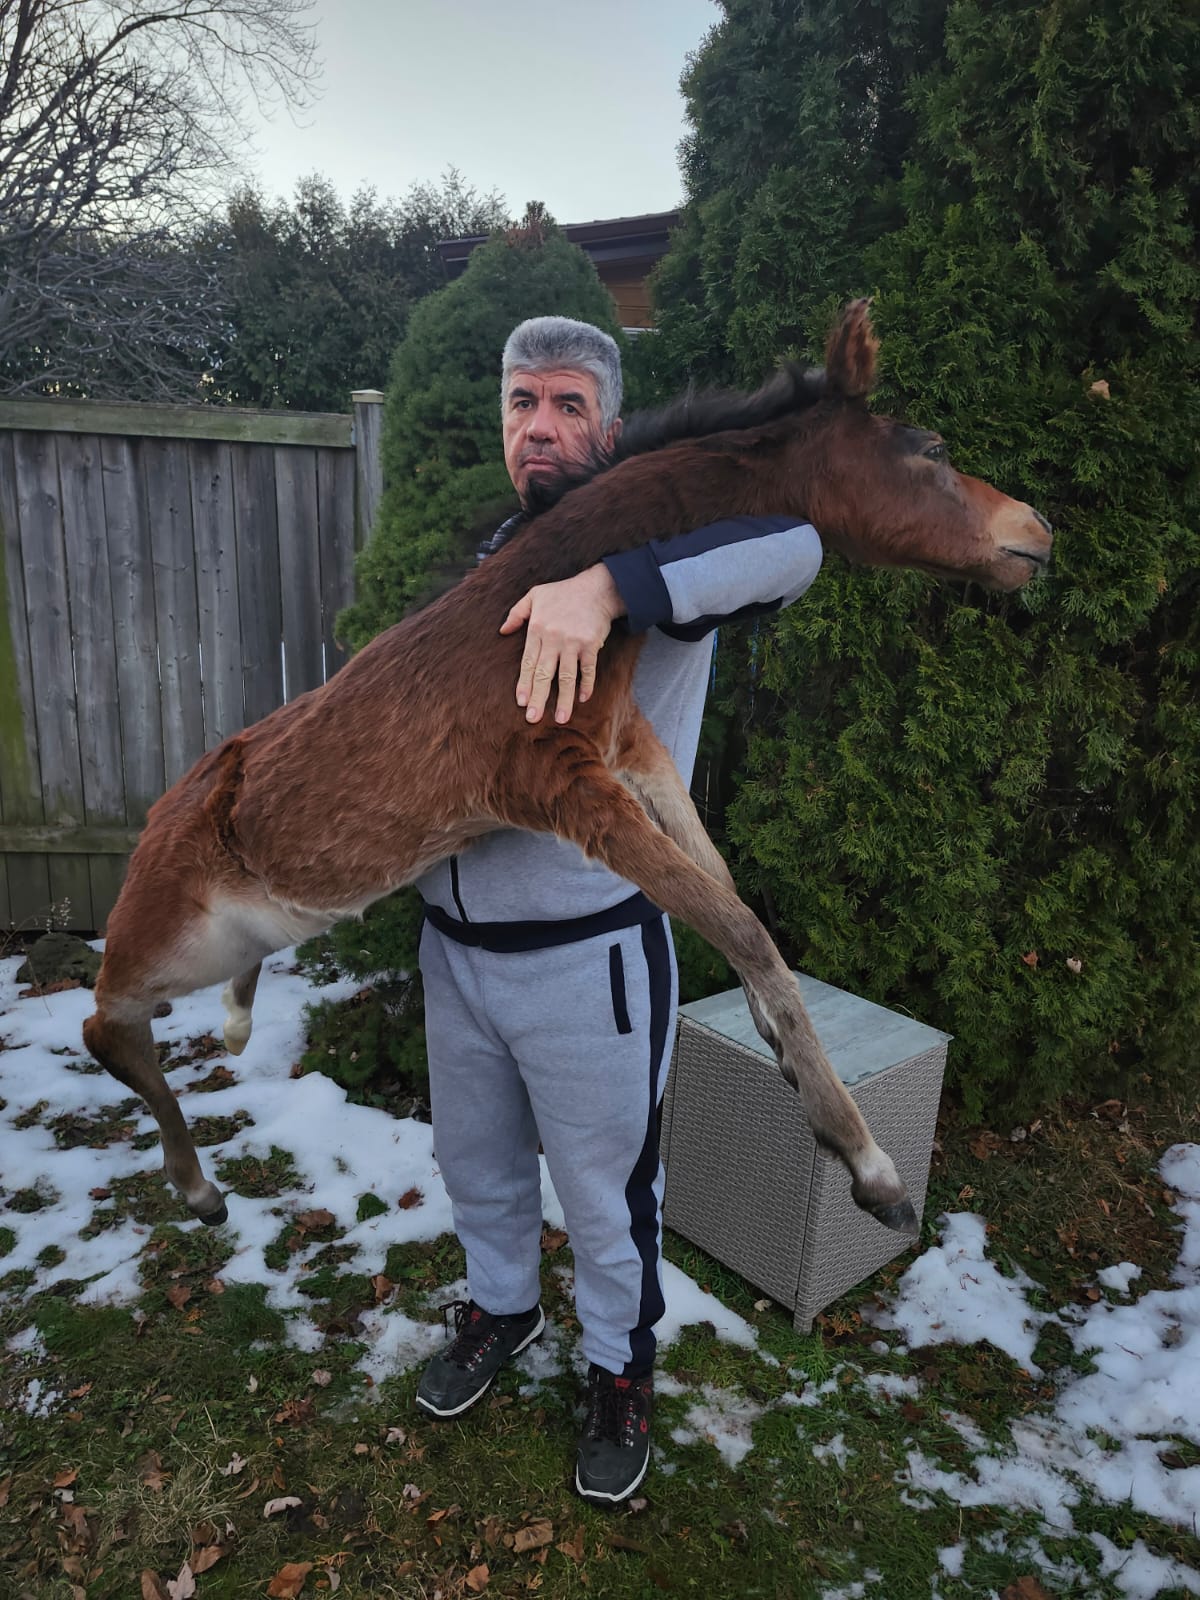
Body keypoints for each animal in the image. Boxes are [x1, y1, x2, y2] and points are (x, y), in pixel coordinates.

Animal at [82, 300, 1052, 1234]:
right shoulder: (557, 785)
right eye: (932, 450)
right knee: (105, 1024)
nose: (1038, 531)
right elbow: (739, 925)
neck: (531, 616)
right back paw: (198, 1188)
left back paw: (238, 1026)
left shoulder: (631, 747)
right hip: (173, 941)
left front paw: (783, 1055)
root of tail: (163, 815)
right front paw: (869, 1165)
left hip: (251, 932)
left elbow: (726, 886)